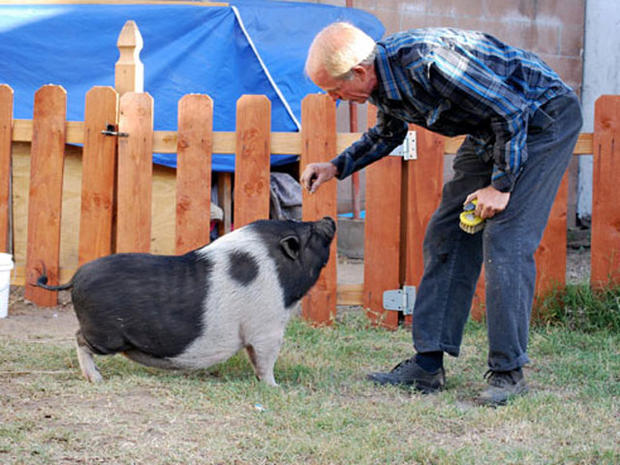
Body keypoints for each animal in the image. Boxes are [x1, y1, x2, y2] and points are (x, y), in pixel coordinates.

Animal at [35, 216, 334, 382]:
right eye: (311, 235)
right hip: (106, 335)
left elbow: (255, 359)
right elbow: (265, 359)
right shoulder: (267, 329)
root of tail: (75, 277)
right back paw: (96, 379)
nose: (329, 219)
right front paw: (274, 386)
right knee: (79, 338)